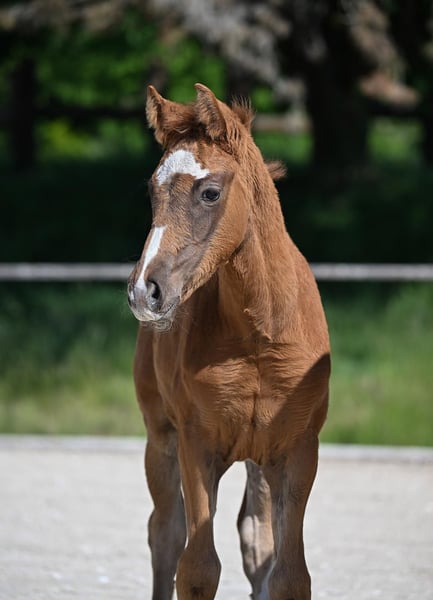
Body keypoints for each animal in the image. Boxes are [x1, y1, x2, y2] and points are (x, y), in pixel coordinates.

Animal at [127, 83, 330, 600]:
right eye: (151, 191)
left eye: (210, 192)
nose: (144, 290)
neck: (259, 335)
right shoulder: (197, 443)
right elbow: (197, 569)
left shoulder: (298, 448)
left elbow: (289, 573)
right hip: (160, 435)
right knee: (164, 532)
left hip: (260, 461)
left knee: (255, 538)